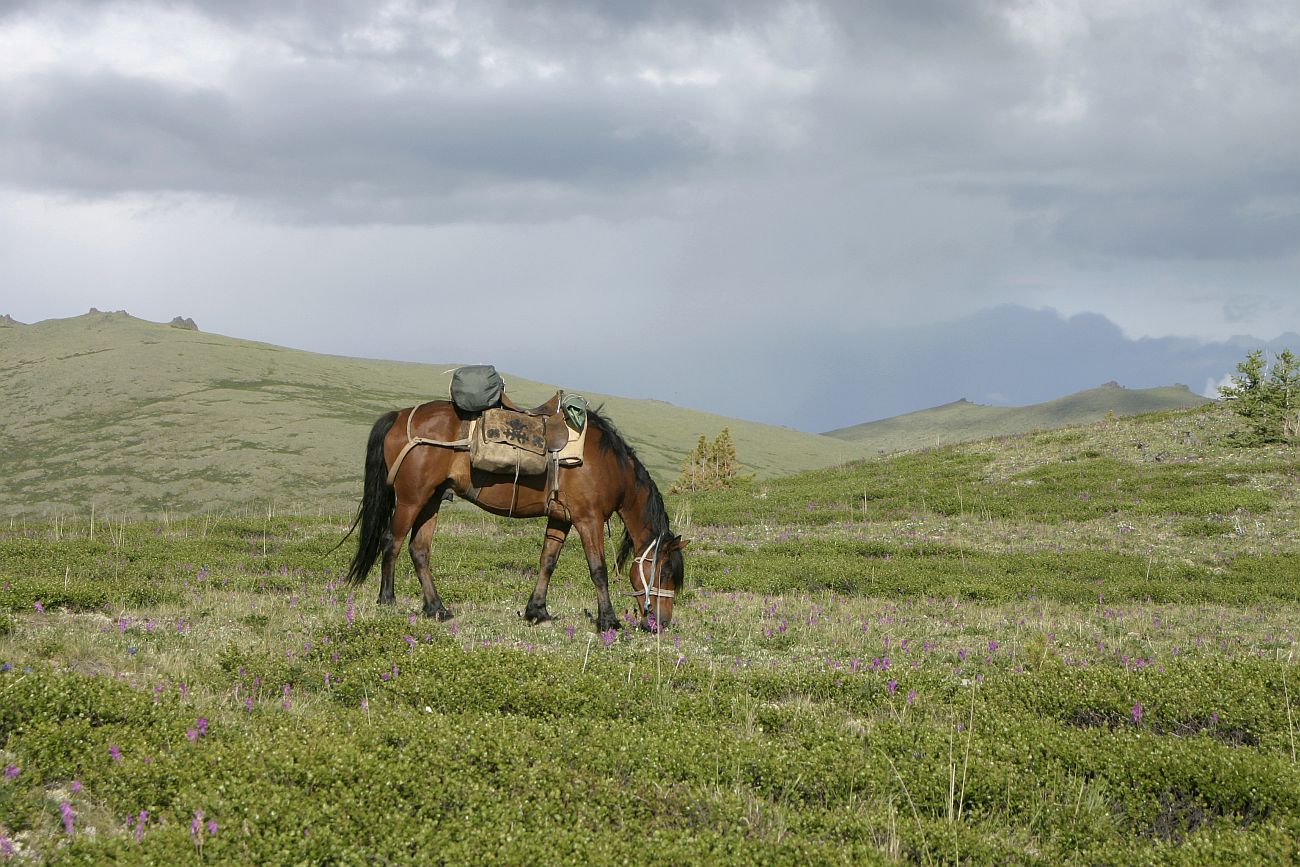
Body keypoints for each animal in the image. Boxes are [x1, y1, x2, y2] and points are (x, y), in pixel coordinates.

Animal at [345, 400, 691, 631]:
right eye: (665, 572)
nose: (661, 623)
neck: (608, 465)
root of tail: (400, 415)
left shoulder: (561, 519)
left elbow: (547, 562)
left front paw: (537, 611)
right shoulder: (587, 520)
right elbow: (598, 570)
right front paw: (609, 621)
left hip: (431, 500)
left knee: (419, 551)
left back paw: (436, 609)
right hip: (411, 499)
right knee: (392, 541)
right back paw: (387, 599)